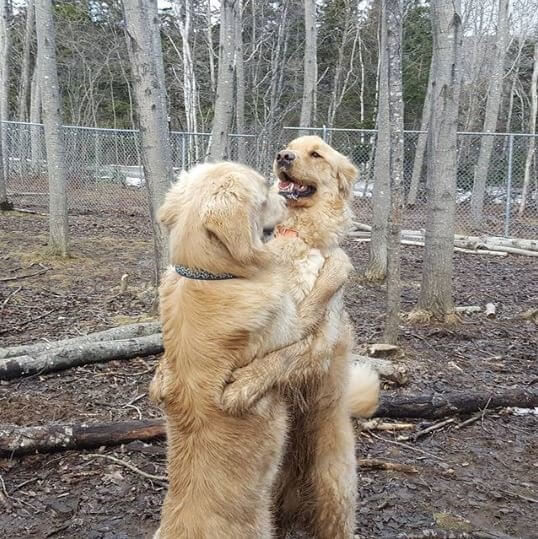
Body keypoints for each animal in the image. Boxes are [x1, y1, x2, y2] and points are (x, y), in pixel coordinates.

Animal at [149, 137, 378, 536]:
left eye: (316, 153)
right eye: (291, 147)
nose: (282, 157)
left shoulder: (317, 343)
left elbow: (283, 357)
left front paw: (239, 387)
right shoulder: (294, 322)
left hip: (333, 490)